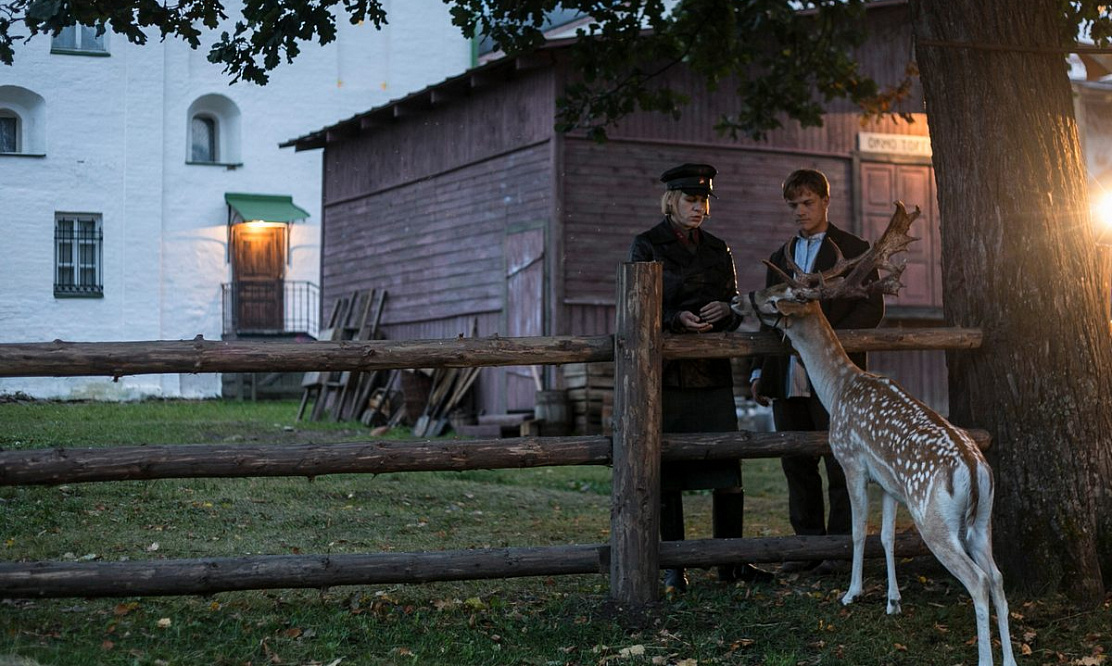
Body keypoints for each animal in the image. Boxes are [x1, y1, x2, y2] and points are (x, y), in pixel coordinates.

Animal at [733, 200, 1018, 662]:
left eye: (775, 297)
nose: (739, 298)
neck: (839, 389)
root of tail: (974, 471)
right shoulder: (889, 483)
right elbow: (885, 537)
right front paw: (892, 601)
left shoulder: (851, 461)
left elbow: (854, 531)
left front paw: (851, 594)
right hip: (982, 520)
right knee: (996, 576)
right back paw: (1009, 658)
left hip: (935, 519)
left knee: (977, 580)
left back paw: (985, 659)